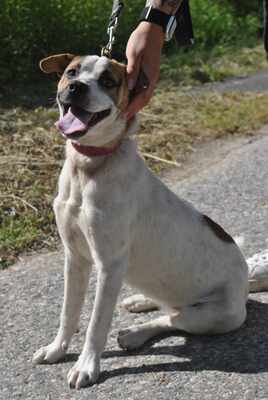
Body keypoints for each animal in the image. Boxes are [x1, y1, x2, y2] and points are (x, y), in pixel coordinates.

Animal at [31, 53, 264, 388]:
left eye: (108, 81)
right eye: (71, 72)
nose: (76, 87)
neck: (88, 167)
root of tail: (246, 277)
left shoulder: (109, 265)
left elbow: (96, 324)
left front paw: (86, 365)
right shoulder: (74, 257)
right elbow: (68, 313)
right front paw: (56, 349)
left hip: (214, 316)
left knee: (172, 319)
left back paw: (135, 333)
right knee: (166, 305)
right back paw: (139, 301)